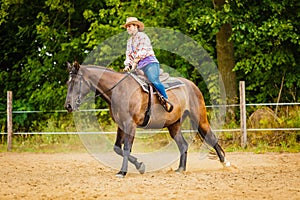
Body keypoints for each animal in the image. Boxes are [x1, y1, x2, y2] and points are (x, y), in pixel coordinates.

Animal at [65, 61, 230, 178]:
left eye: (75, 82)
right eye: (68, 83)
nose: (68, 106)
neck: (119, 90)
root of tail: (192, 85)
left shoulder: (130, 124)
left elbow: (126, 148)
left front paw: (123, 172)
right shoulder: (121, 125)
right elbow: (117, 148)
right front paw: (139, 165)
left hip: (199, 118)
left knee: (211, 137)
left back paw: (226, 163)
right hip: (174, 124)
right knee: (183, 144)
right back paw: (180, 169)